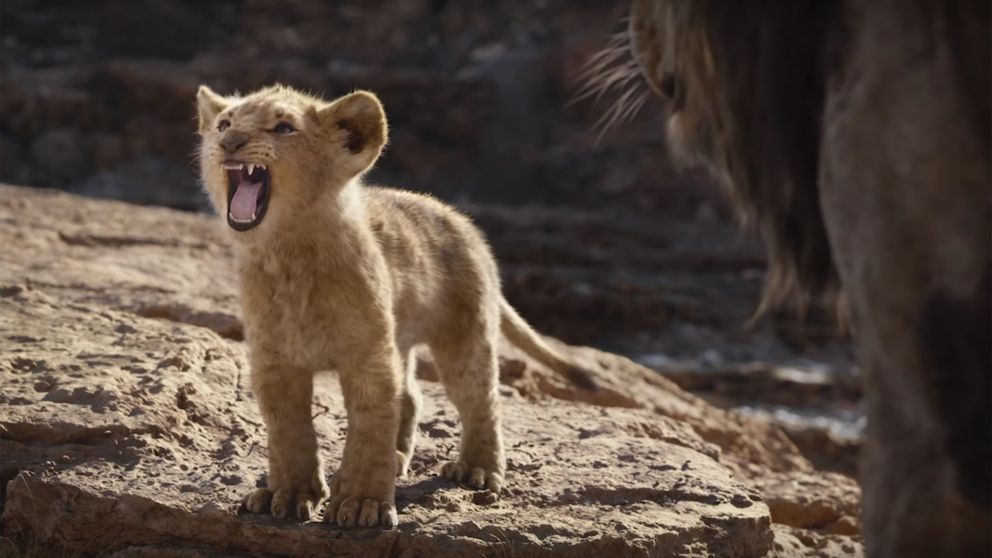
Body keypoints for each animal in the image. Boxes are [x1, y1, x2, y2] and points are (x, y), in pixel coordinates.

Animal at [195, 84, 594, 528]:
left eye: (283, 128)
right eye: (224, 123)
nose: (229, 143)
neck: (288, 255)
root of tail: (466, 225)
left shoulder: (367, 355)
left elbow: (370, 428)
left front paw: (360, 504)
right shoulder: (274, 360)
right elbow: (288, 432)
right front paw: (287, 495)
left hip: (464, 332)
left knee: (479, 397)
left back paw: (477, 469)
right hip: (398, 339)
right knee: (412, 395)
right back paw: (398, 459)